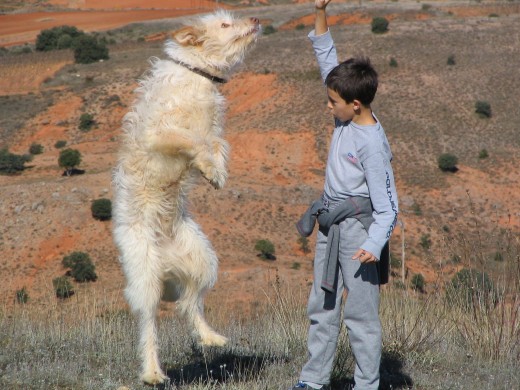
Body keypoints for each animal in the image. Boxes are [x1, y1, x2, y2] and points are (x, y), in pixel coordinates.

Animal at [112, 10, 260, 386]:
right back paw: (152, 372)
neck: (198, 75)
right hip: (146, 278)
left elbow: (217, 144)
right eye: (224, 24)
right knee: (149, 323)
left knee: (189, 305)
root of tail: (167, 261)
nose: (254, 19)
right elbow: (194, 141)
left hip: (203, 263)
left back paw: (210, 336)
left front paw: (217, 173)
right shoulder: (162, 132)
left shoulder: (214, 128)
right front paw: (209, 167)